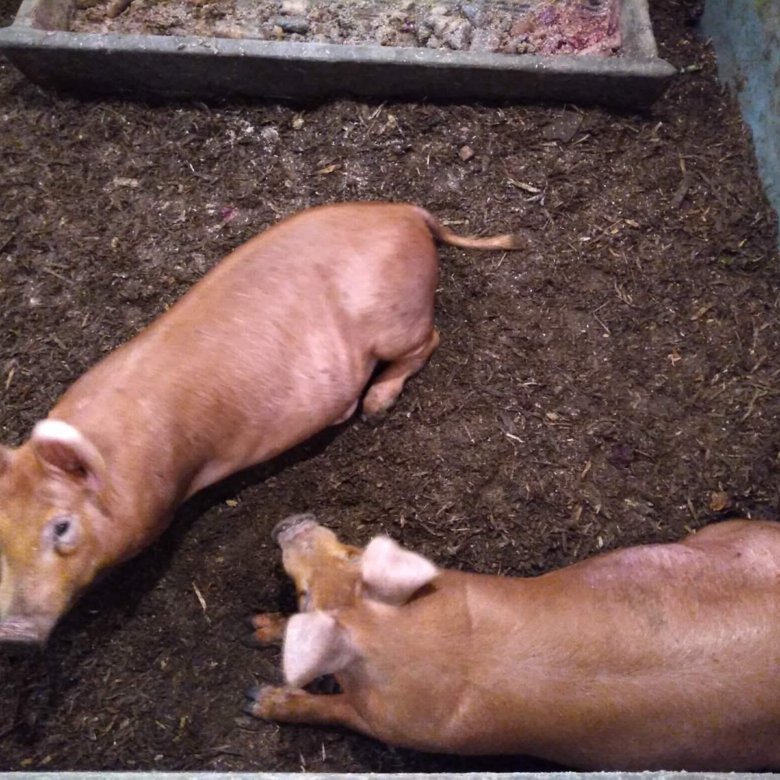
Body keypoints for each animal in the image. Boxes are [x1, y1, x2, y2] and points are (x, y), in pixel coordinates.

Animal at [0, 203, 521, 647]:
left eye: (61, 527)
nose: (14, 633)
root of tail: (405, 212)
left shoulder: (154, 513)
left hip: (401, 321)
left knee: (430, 340)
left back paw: (374, 407)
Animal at [245, 513, 780, 770]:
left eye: (305, 593)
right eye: (355, 552)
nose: (290, 523)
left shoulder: (395, 724)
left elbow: (333, 710)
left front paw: (257, 700)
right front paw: (256, 627)